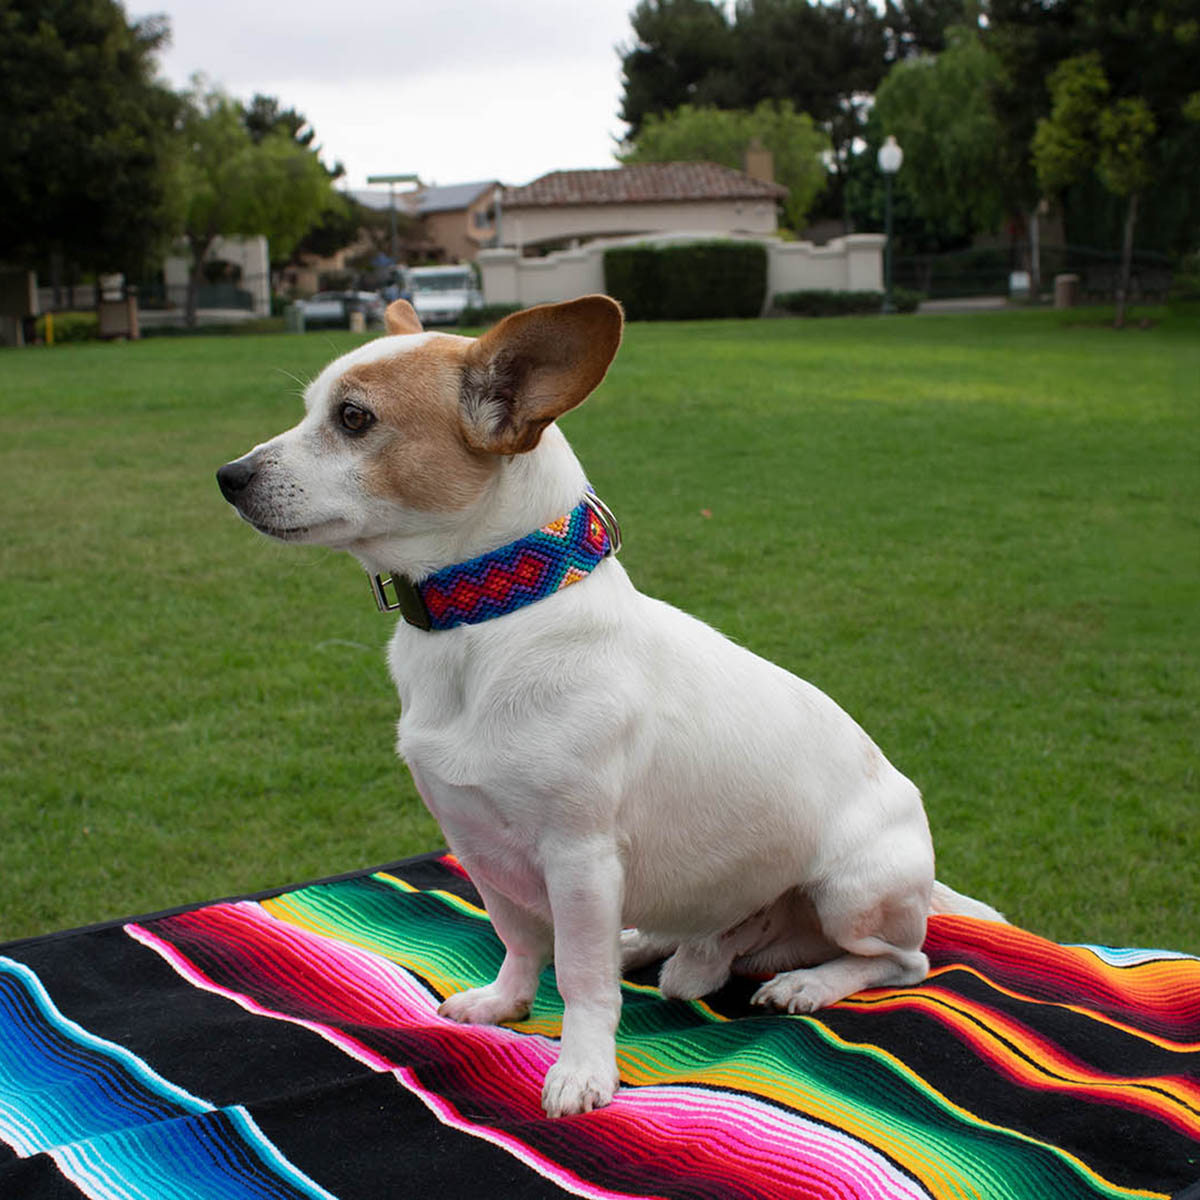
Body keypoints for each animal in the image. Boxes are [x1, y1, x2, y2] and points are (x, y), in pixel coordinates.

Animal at [218, 295, 1003, 1118]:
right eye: (312, 410)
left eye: (354, 419)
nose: (228, 477)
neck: (488, 618)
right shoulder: (476, 845)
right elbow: (521, 941)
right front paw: (504, 1002)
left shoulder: (580, 858)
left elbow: (581, 978)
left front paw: (583, 1068)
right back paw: (660, 945)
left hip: (853, 892)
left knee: (900, 960)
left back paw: (808, 984)